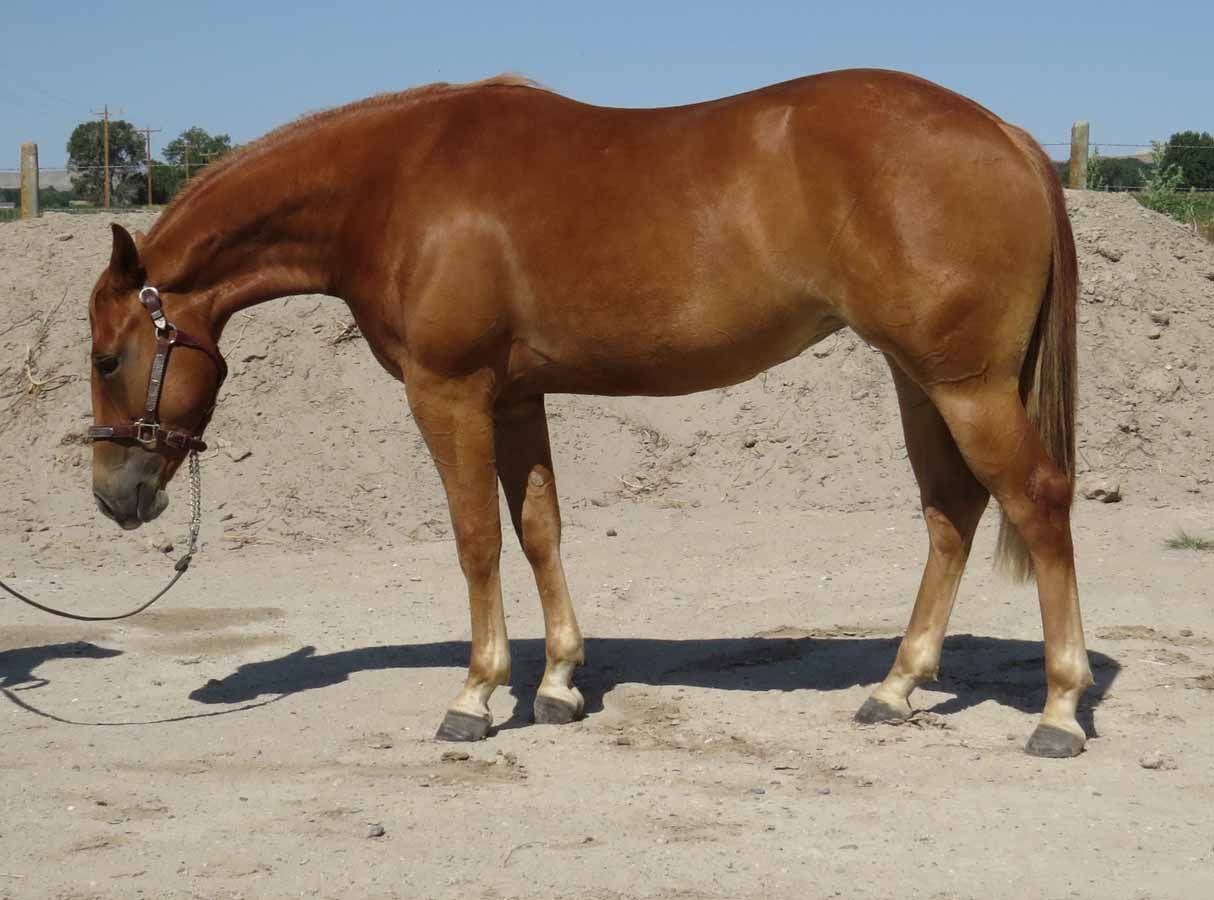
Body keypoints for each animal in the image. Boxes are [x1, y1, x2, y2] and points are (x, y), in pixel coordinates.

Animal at [86, 69, 1091, 757]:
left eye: (105, 357)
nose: (113, 495)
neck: (393, 184)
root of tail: (1005, 134)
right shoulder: (515, 396)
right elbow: (539, 529)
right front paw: (560, 684)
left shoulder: (447, 392)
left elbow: (476, 539)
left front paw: (475, 696)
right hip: (921, 380)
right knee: (952, 512)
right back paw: (896, 687)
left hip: (965, 385)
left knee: (1037, 501)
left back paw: (1059, 709)